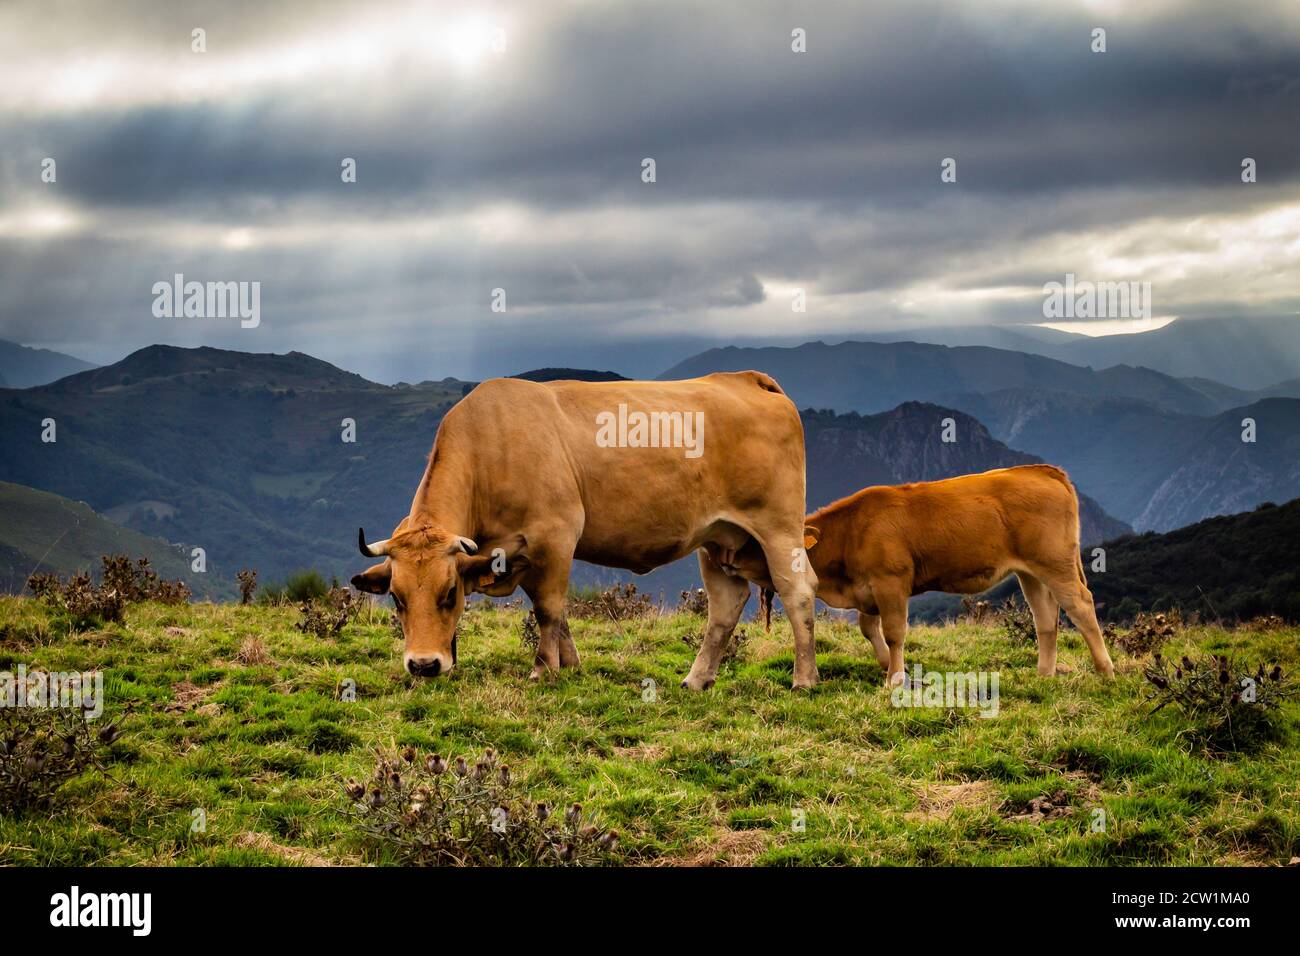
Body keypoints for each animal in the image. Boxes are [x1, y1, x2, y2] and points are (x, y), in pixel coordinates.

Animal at [350, 371, 819, 689]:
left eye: (450, 593)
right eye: (396, 598)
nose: (423, 665)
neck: (491, 449)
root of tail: (748, 379)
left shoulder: (555, 535)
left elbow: (549, 609)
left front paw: (544, 669)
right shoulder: (519, 554)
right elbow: (553, 610)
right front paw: (570, 663)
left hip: (779, 527)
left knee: (798, 591)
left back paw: (804, 678)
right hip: (717, 539)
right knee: (725, 605)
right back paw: (696, 679)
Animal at [727, 464, 1115, 686]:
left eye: (757, 543)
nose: (727, 557)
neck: (850, 532)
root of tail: (1041, 470)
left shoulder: (891, 582)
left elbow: (895, 632)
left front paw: (895, 678)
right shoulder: (867, 590)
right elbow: (869, 629)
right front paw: (886, 665)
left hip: (1055, 563)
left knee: (1081, 606)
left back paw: (1105, 670)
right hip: (1030, 572)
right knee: (1045, 618)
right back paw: (1044, 675)